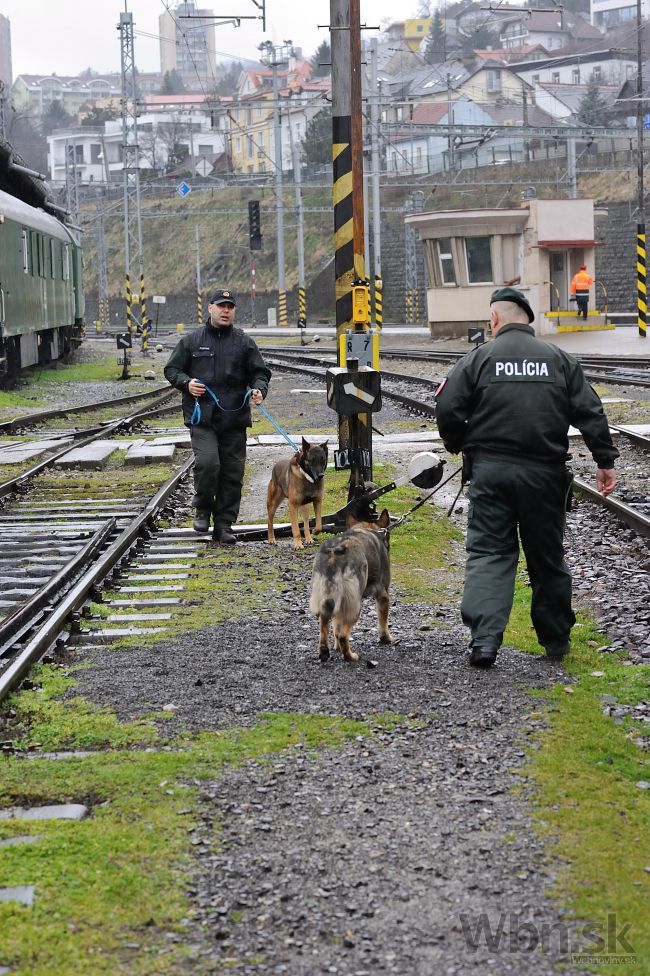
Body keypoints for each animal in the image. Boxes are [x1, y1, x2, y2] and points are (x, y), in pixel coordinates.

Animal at [308, 504, 390, 664]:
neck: (367, 528)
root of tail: (335, 554)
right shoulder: (383, 595)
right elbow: (383, 622)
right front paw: (386, 639)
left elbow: (335, 627)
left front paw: (337, 648)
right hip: (354, 605)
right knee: (343, 635)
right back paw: (350, 656)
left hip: (328, 598)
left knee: (325, 626)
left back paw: (325, 652)